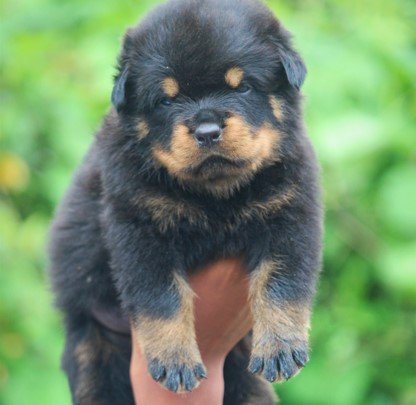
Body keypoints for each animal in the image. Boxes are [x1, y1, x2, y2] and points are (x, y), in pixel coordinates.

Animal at [48, 0, 322, 402]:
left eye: (242, 87)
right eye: (167, 99)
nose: (207, 131)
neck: (214, 195)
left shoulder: (291, 210)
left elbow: (282, 281)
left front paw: (280, 348)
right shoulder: (137, 226)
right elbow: (161, 297)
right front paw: (175, 360)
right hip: (92, 343)